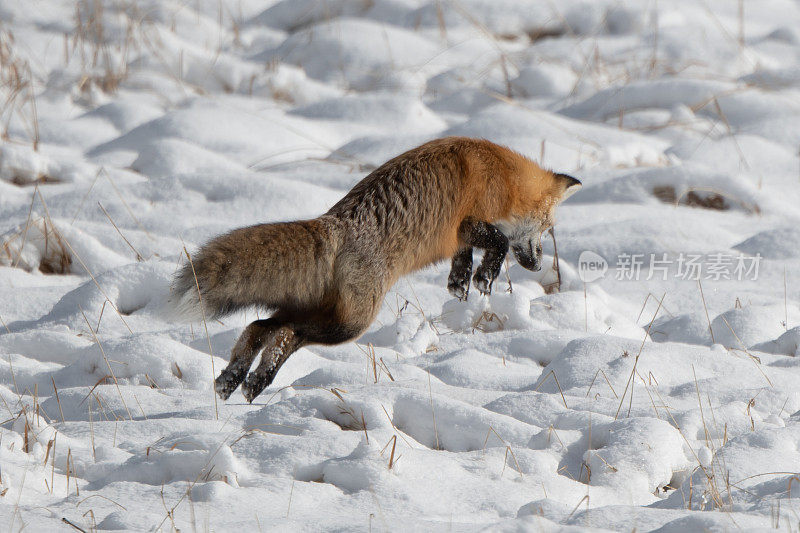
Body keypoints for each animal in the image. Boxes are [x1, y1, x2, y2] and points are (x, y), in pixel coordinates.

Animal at [170, 137, 580, 400]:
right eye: (547, 227)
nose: (538, 264)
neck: (503, 173)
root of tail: (334, 224)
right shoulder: (466, 222)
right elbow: (496, 241)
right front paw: (484, 277)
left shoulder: (457, 237)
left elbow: (463, 258)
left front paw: (461, 283)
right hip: (351, 323)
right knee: (286, 333)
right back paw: (254, 379)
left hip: (323, 313)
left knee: (261, 327)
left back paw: (240, 379)